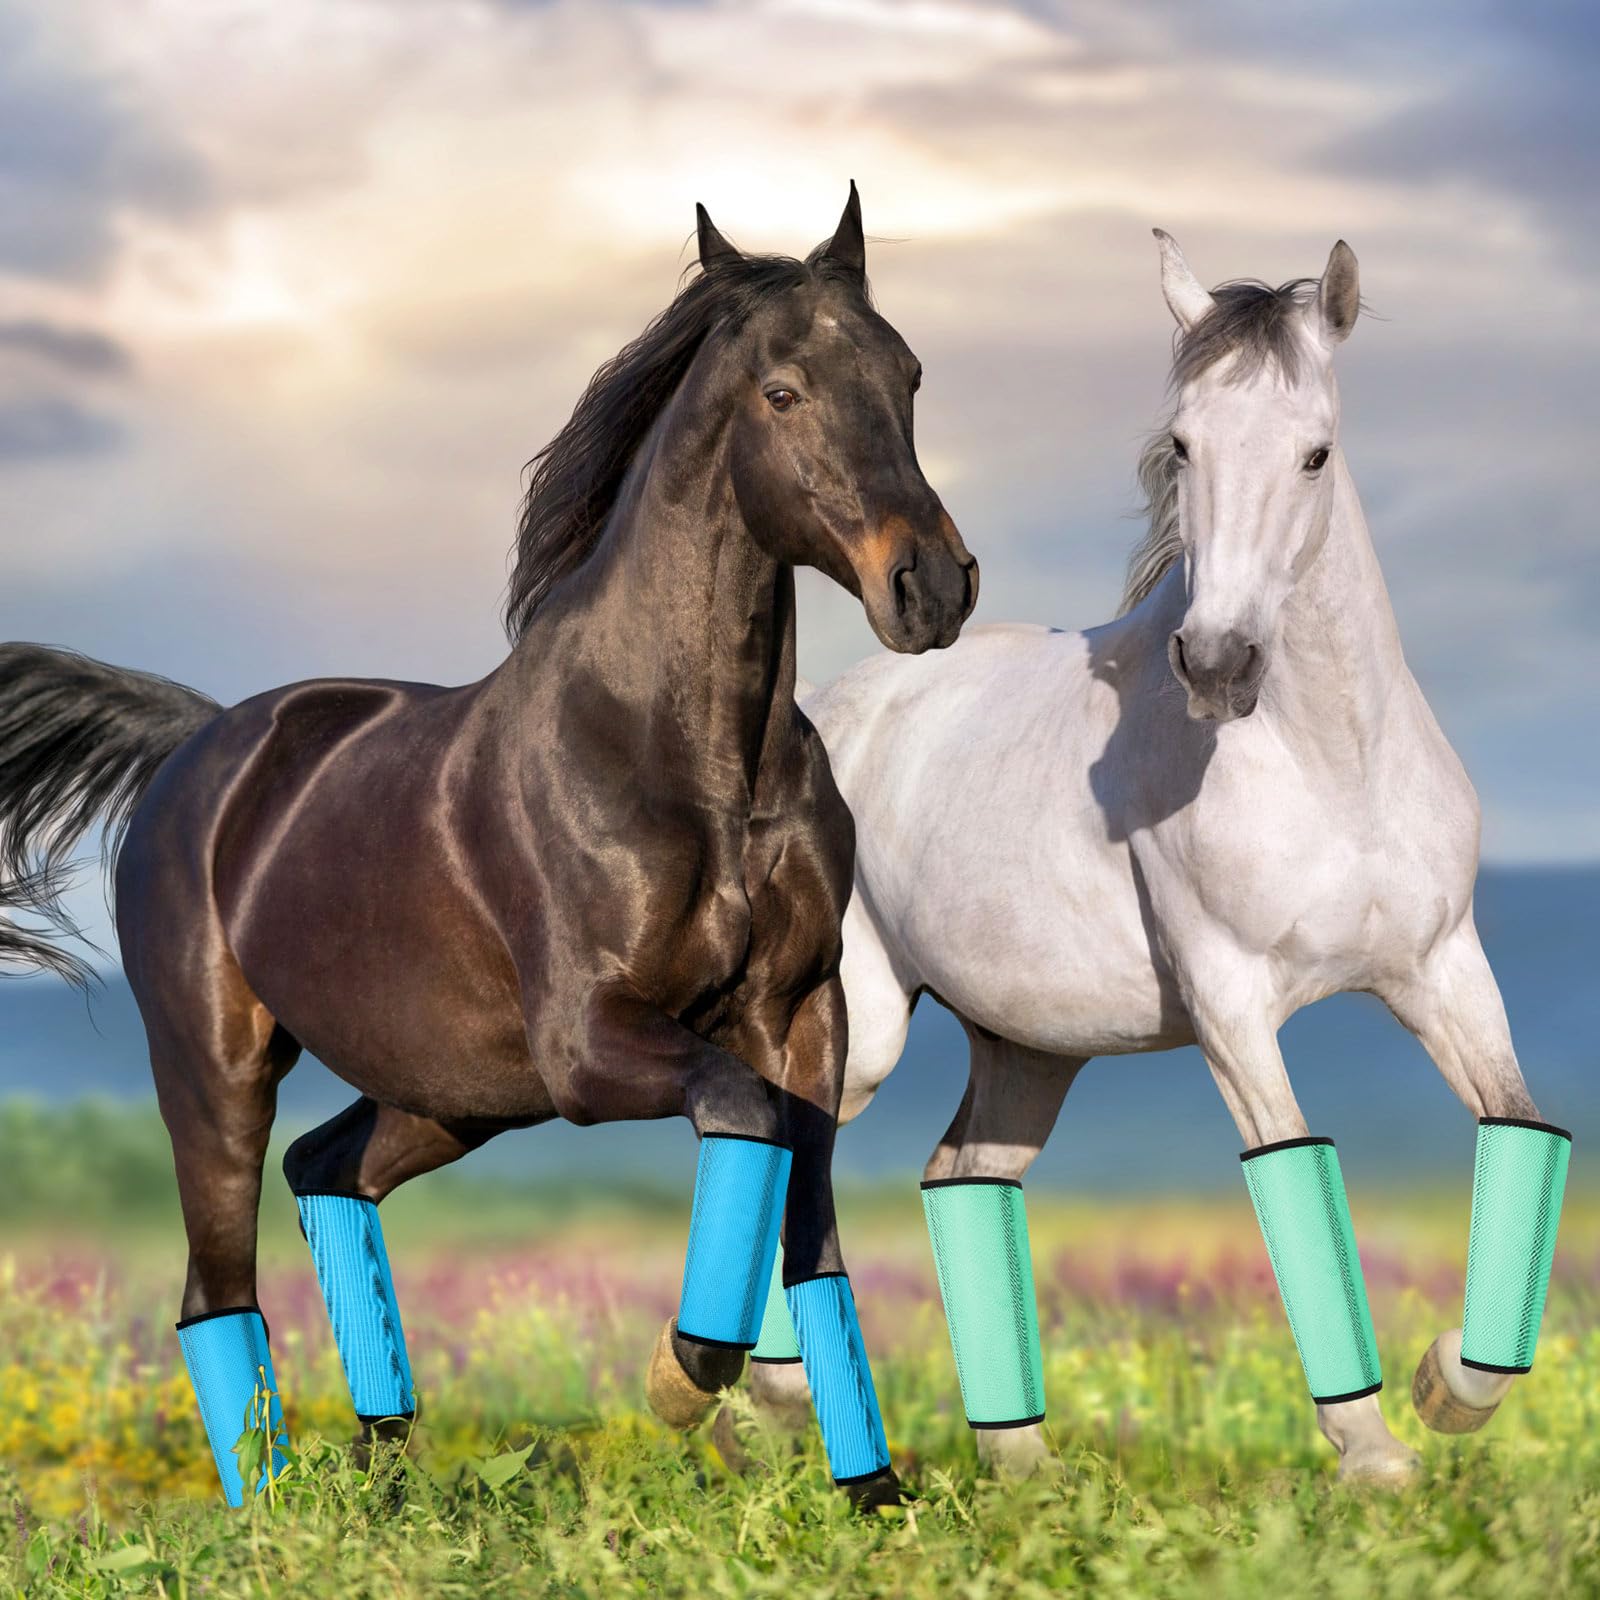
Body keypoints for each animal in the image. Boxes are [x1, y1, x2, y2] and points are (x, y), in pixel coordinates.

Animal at [0, 186, 977, 1509]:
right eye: (782, 390)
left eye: (907, 372)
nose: (933, 587)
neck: (692, 761)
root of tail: (201, 744)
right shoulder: (591, 1041)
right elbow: (743, 1117)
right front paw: (686, 1371)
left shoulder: (798, 1016)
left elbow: (809, 1229)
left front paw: (874, 1499)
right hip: (218, 1069)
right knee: (216, 1287)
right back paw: (278, 1513)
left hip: (455, 1092)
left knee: (327, 1170)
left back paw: (385, 1476)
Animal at [743, 232, 1570, 1486]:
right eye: (1181, 444)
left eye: (1315, 451)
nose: (1218, 661)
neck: (1331, 767)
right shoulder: (1230, 1001)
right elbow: (1291, 1165)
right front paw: (1373, 1451)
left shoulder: (1441, 971)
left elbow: (1516, 1128)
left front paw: (1447, 1385)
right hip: (866, 1026)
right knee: (790, 1146)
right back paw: (763, 1397)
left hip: (1028, 1051)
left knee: (961, 1178)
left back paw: (1019, 1459)